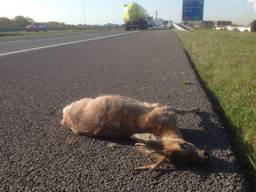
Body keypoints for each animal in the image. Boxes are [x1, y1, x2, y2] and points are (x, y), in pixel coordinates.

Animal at [61, 95, 209, 170]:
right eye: (183, 146)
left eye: (186, 163)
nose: (205, 155)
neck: (164, 128)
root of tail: (65, 117)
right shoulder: (164, 109)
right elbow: (183, 110)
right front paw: (197, 109)